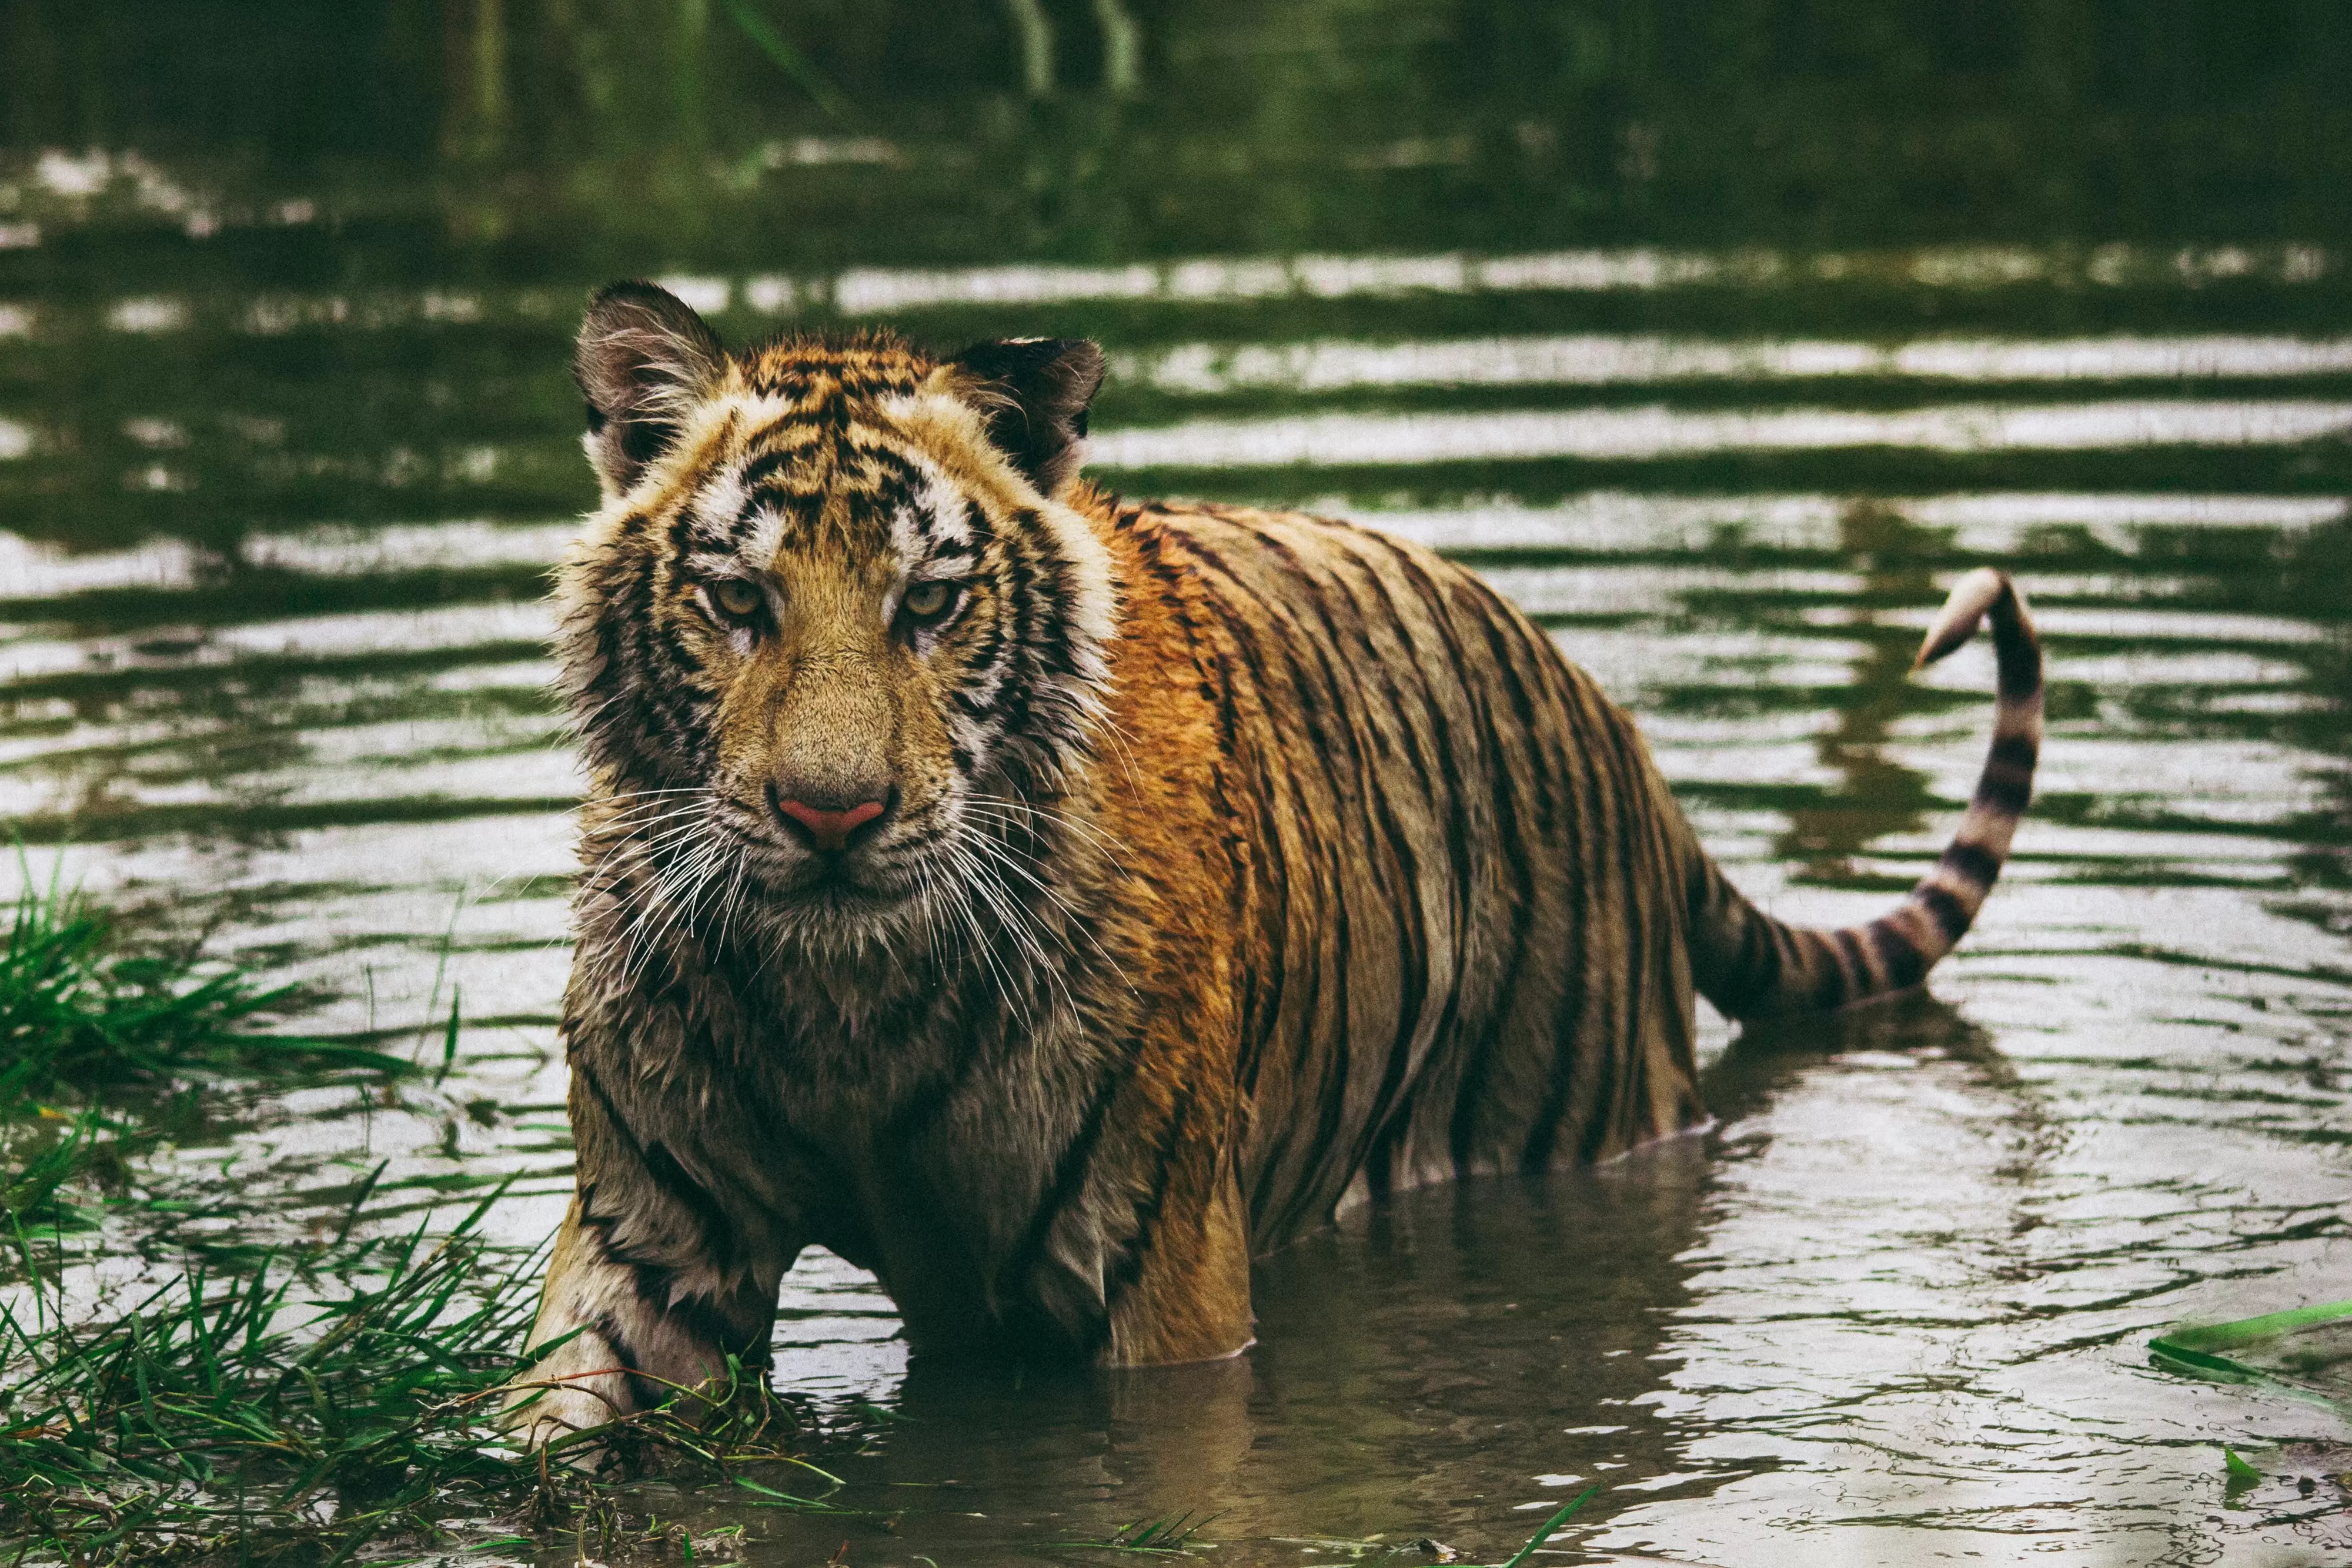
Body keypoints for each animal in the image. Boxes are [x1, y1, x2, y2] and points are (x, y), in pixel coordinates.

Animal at [504, 281, 2042, 1449]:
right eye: (736, 599)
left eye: (930, 603)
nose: (832, 817)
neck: (845, 1004)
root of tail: (1621, 736)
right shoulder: (652, 1244)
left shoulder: (1156, 1277)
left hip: (1575, 1123)